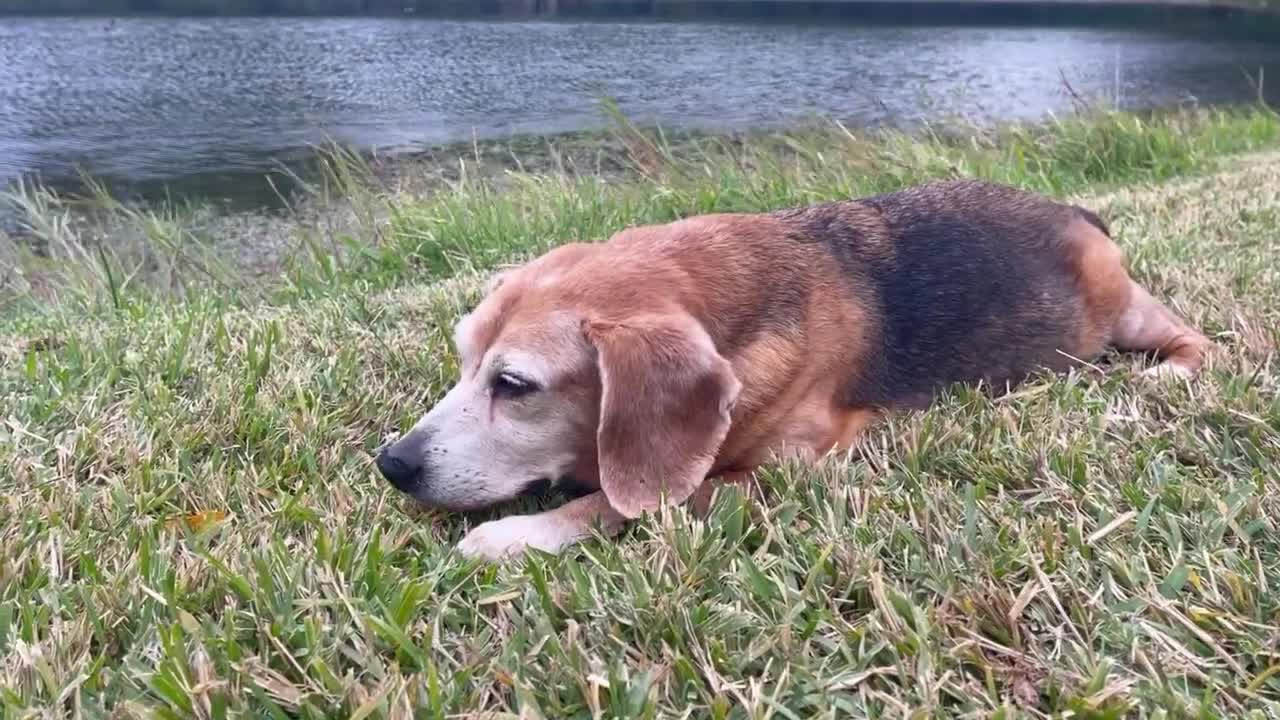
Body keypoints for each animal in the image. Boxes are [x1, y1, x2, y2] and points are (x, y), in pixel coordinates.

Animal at [373, 176, 1208, 558]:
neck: (737, 308)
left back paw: (1165, 374)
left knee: (1202, 342)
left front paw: (516, 536)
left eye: (514, 386)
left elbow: (625, 499)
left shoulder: (790, 468)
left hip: (1125, 308)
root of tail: (1075, 211)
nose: (392, 464)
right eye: (463, 361)